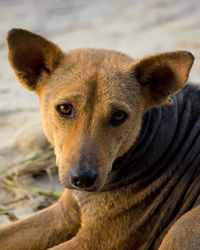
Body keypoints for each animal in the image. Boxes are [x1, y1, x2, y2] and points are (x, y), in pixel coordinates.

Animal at [0, 28, 200, 248]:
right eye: (64, 108)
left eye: (119, 115)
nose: (83, 179)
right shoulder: (64, 213)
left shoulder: (93, 241)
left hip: (182, 228)